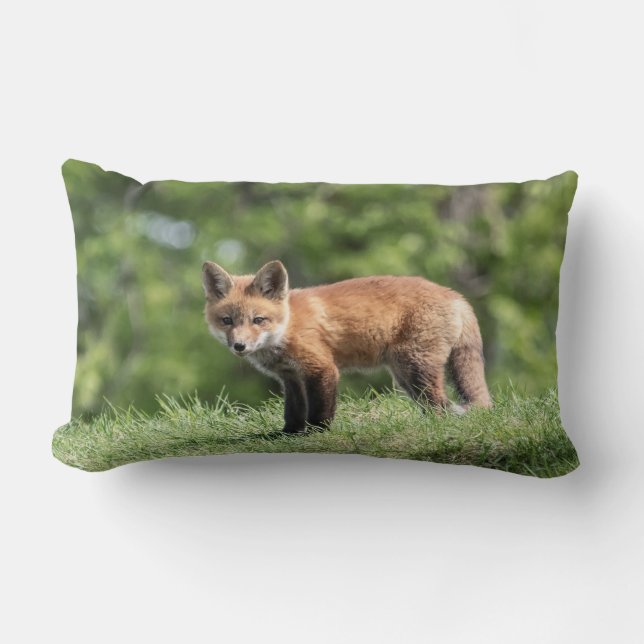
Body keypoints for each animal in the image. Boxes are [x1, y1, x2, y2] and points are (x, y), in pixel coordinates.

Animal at [202, 260, 491, 434]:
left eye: (258, 320)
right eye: (227, 321)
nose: (239, 346)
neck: (287, 326)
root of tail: (455, 295)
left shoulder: (321, 368)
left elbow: (320, 410)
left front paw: (317, 434)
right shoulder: (291, 377)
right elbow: (293, 411)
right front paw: (288, 435)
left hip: (415, 368)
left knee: (440, 406)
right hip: (405, 375)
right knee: (434, 405)